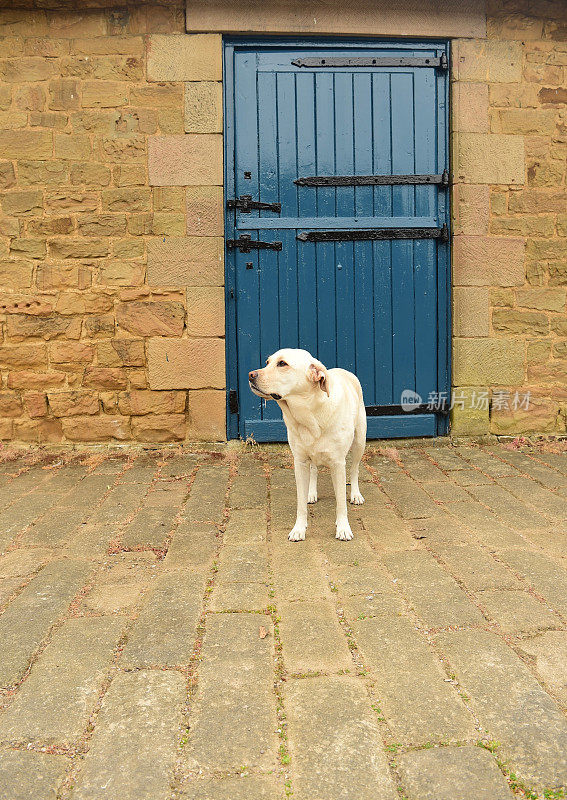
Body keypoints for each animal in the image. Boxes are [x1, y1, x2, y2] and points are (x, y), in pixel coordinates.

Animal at [250, 350, 368, 544]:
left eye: (282, 364)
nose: (250, 375)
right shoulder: (299, 462)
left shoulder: (338, 464)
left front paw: (343, 528)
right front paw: (299, 529)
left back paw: (355, 494)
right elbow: (300, 504)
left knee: (355, 469)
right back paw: (311, 493)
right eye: (267, 362)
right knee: (314, 470)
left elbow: (341, 503)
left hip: (359, 441)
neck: (309, 415)